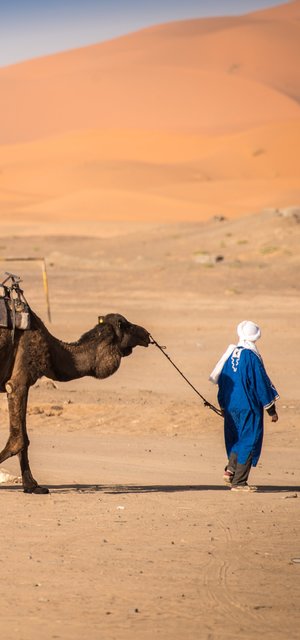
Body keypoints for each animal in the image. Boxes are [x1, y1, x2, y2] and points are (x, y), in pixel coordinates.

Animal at [0, 304, 150, 496]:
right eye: (127, 325)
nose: (146, 333)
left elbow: (22, 437)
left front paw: (32, 486)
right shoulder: (19, 381)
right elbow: (19, 439)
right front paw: (32, 485)